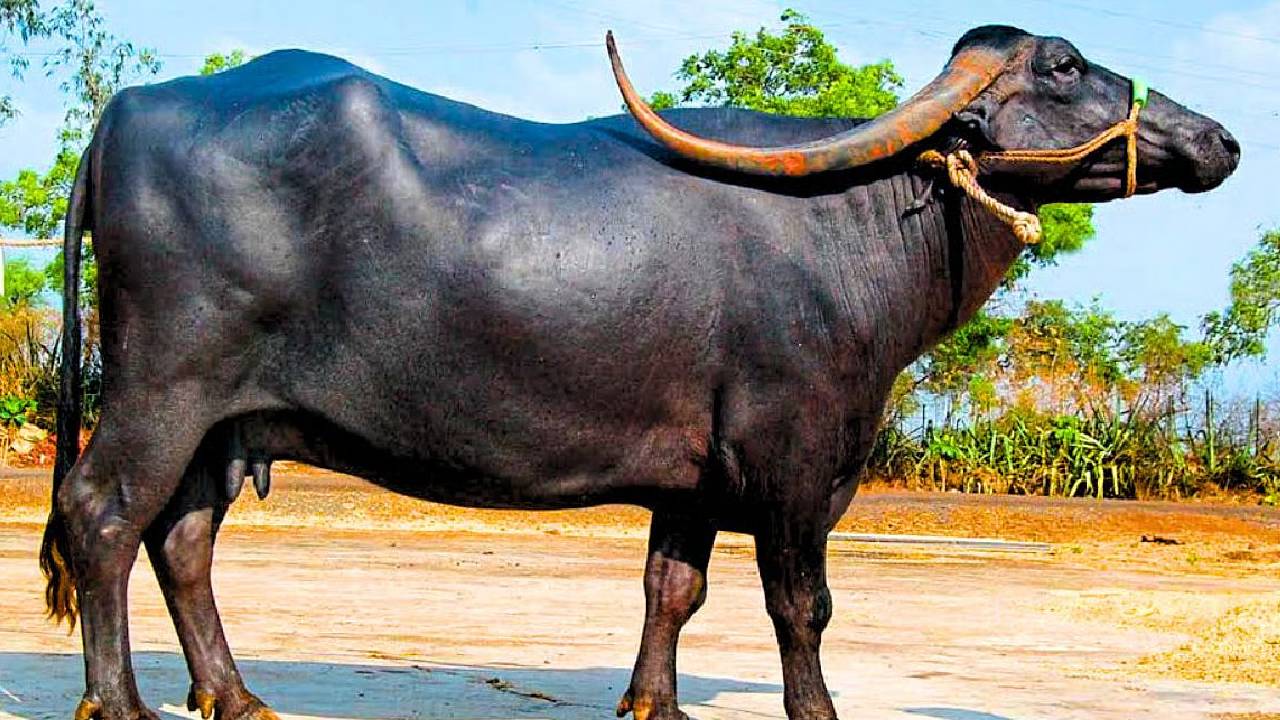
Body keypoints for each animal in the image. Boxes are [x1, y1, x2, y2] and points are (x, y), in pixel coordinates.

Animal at [39, 24, 1237, 720]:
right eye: (1065, 68)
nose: (1221, 139)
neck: (852, 221)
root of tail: (127, 110)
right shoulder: (794, 459)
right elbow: (802, 605)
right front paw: (815, 710)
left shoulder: (694, 475)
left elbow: (674, 587)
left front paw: (649, 701)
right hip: (163, 387)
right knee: (103, 517)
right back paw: (122, 704)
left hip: (222, 419)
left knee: (182, 540)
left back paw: (235, 697)